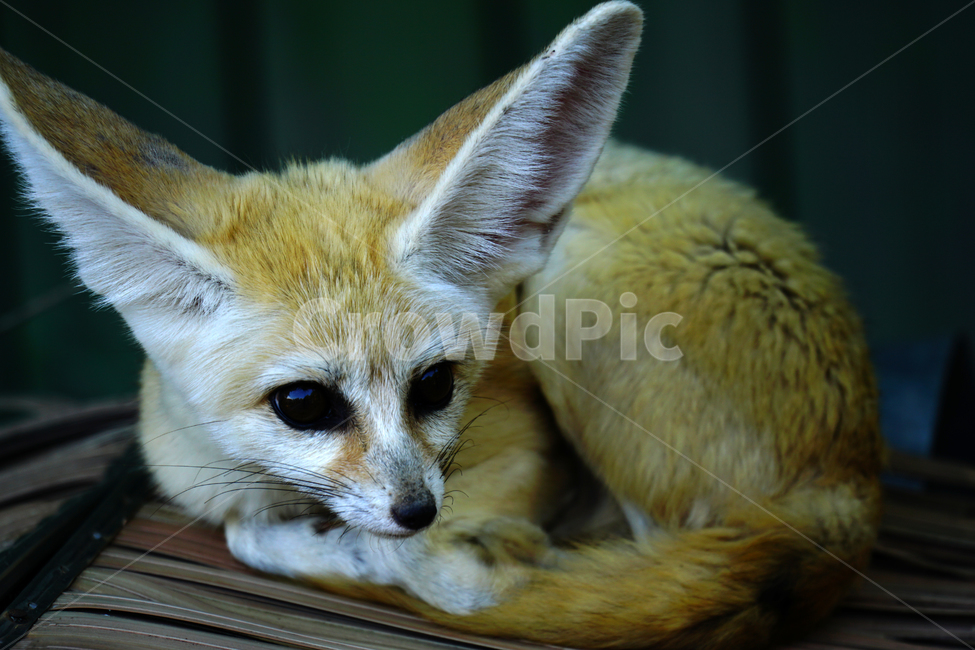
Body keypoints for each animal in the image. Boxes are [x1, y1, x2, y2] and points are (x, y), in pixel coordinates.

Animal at [0, 2, 884, 648]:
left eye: (434, 384)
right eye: (303, 403)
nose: (416, 509)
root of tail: (855, 487)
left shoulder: (523, 457)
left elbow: (426, 566)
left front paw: (371, 551)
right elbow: (255, 526)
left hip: (574, 281)